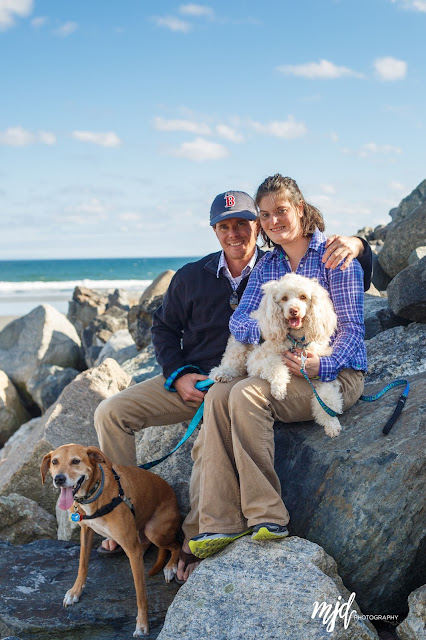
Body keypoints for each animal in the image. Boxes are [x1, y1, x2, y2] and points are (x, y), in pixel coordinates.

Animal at [42, 444, 182, 636]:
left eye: (76, 461)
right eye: (55, 462)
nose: (59, 479)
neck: (94, 494)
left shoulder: (132, 550)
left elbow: (141, 593)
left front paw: (142, 624)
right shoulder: (86, 531)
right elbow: (82, 565)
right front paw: (75, 592)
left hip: (154, 530)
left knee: (176, 545)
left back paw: (171, 567)